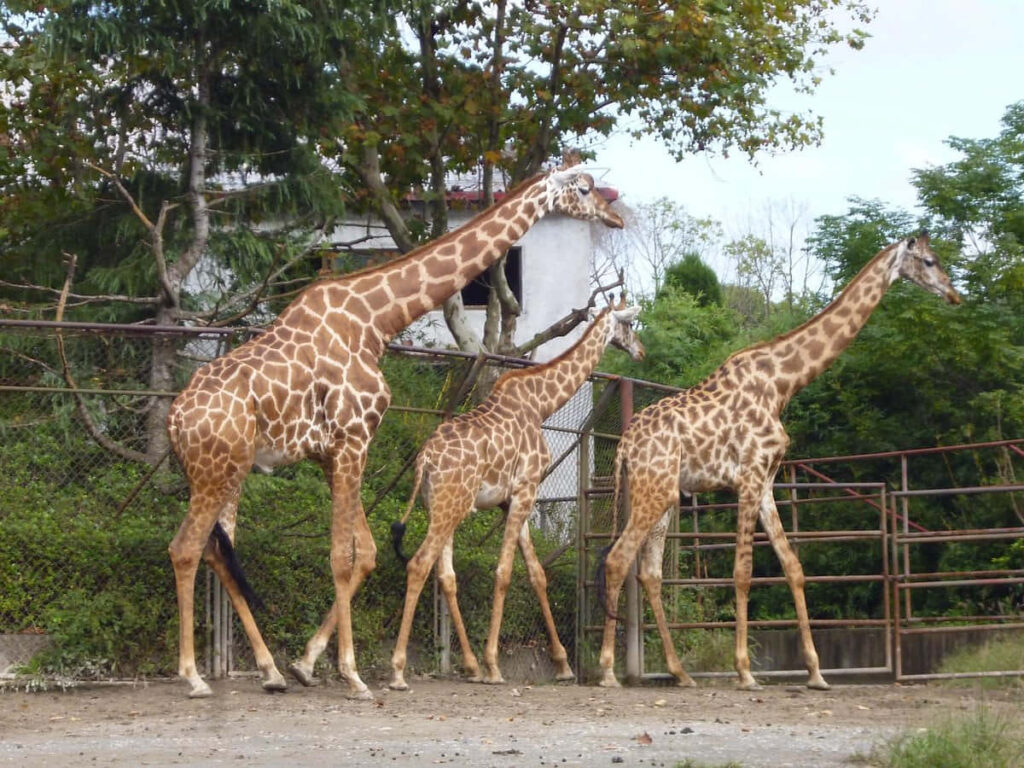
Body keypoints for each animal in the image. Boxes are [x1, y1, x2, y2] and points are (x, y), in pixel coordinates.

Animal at [386, 297, 645, 691]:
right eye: (630, 325)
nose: (640, 351)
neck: (541, 404)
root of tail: (424, 461)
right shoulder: (527, 488)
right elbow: (505, 571)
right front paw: (495, 665)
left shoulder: (513, 500)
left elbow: (537, 573)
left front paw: (563, 665)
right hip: (451, 506)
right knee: (419, 564)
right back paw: (400, 671)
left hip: (443, 507)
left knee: (445, 575)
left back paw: (470, 666)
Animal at [596, 232, 960, 690]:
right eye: (929, 261)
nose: (953, 294)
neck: (783, 384)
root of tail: (625, 443)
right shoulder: (749, 476)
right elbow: (743, 570)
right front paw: (745, 671)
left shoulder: (767, 482)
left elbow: (793, 566)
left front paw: (816, 672)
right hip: (653, 489)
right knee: (618, 558)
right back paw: (608, 671)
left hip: (663, 494)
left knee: (649, 571)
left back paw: (680, 673)